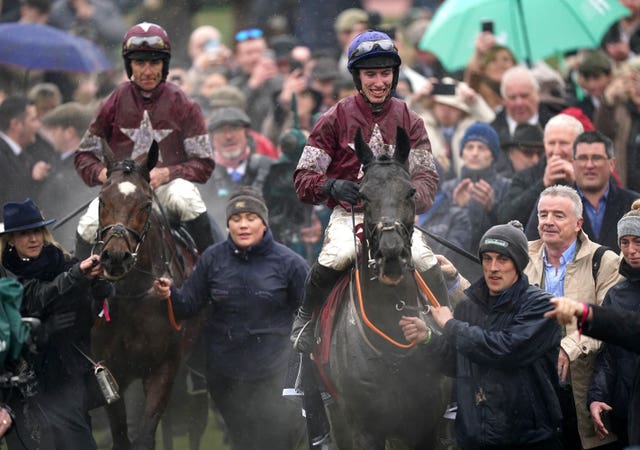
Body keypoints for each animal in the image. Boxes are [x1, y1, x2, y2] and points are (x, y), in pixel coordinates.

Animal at [91, 142, 194, 450]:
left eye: (146, 204)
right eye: (102, 200)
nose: (115, 257)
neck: (132, 295)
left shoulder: (163, 368)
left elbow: (146, 435)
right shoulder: (111, 371)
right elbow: (122, 435)